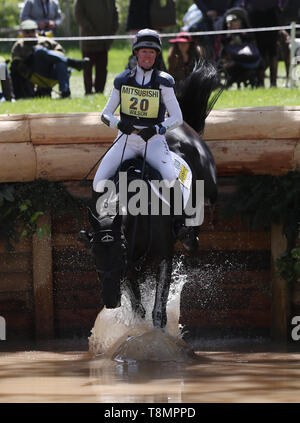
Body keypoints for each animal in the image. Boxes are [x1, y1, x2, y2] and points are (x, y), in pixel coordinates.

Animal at [81, 61, 221, 330]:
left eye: (120, 250)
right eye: (93, 253)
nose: (110, 301)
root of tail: (186, 127)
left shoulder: (163, 256)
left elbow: (158, 309)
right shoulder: (129, 269)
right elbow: (138, 306)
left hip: (208, 186)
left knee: (203, 212)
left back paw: (191, 233)